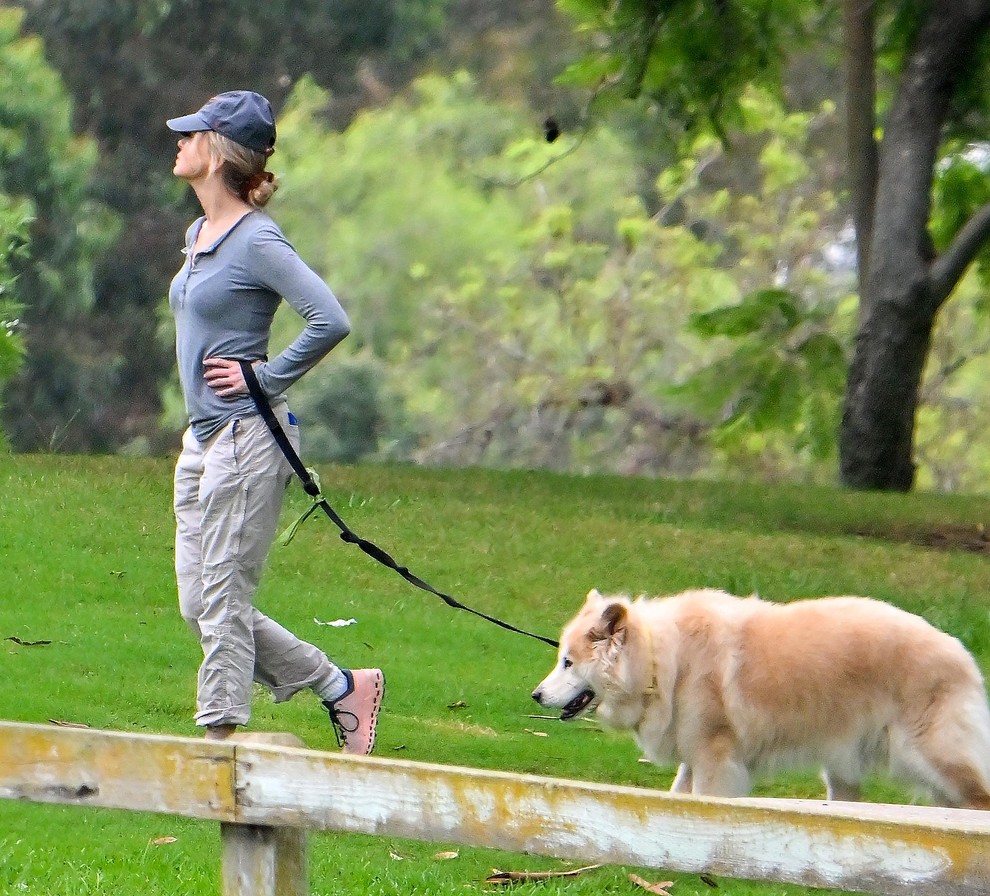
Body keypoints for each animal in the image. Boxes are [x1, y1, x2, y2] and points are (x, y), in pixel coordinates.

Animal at [540, 588, 990, 804]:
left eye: (567, 662)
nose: (535, 694)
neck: (662, 659)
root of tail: (963, 656)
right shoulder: (693, 756)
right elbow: (679, 799)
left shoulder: (715, 758)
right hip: (843, 770)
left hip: (934, 757)